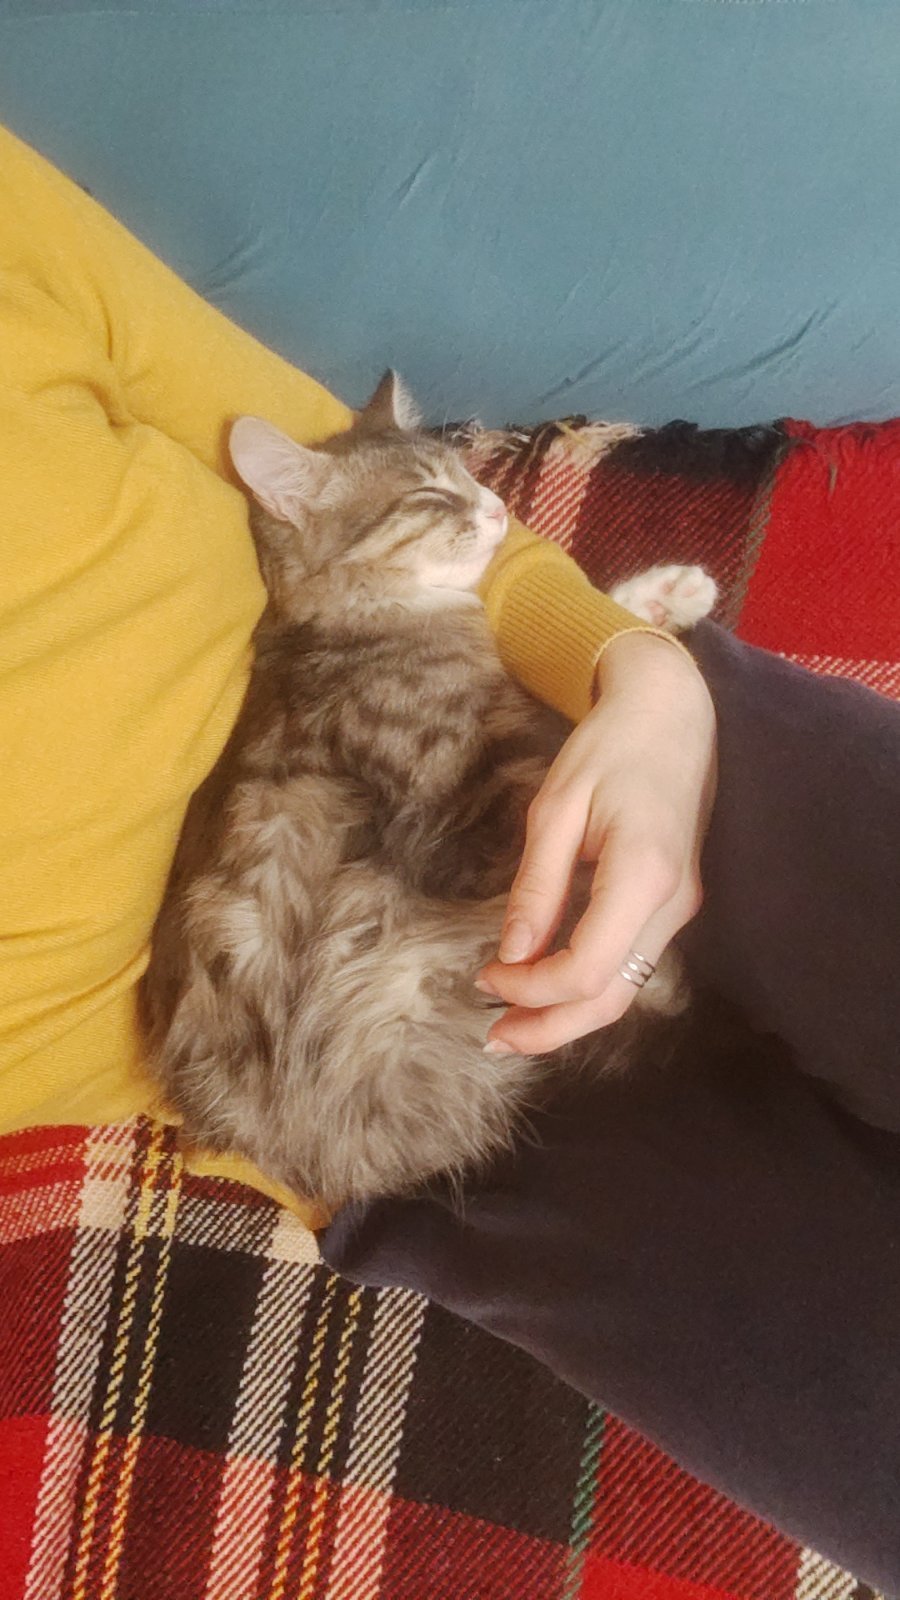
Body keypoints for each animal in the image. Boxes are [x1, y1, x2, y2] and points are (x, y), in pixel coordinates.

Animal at [139, 373, 716, 1209]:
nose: (500, 508)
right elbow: (564, 742)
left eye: (467, 474)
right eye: (430, 495)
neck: (366, 622)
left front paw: (665, 598)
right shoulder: (470, 817)